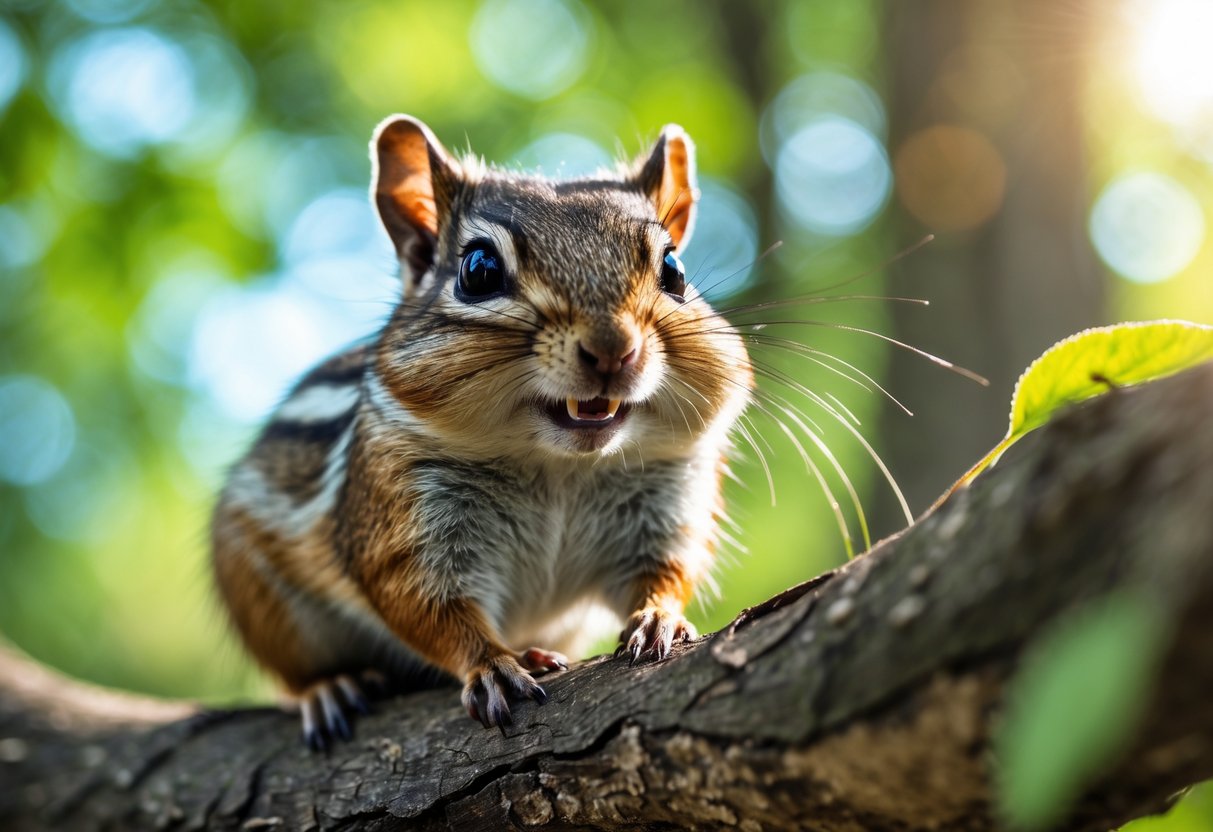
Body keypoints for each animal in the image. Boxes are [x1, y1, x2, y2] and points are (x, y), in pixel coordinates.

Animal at [210, 114, 753, 749]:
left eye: (673, 270)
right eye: (479, 270)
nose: (614, 349)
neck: (560, 467)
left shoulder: (668, 500)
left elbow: (667, 570)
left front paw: (659, 616)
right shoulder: (405, 525)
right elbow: (428, 608)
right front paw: (492, 664)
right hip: (262, 601)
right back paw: (327, 689)